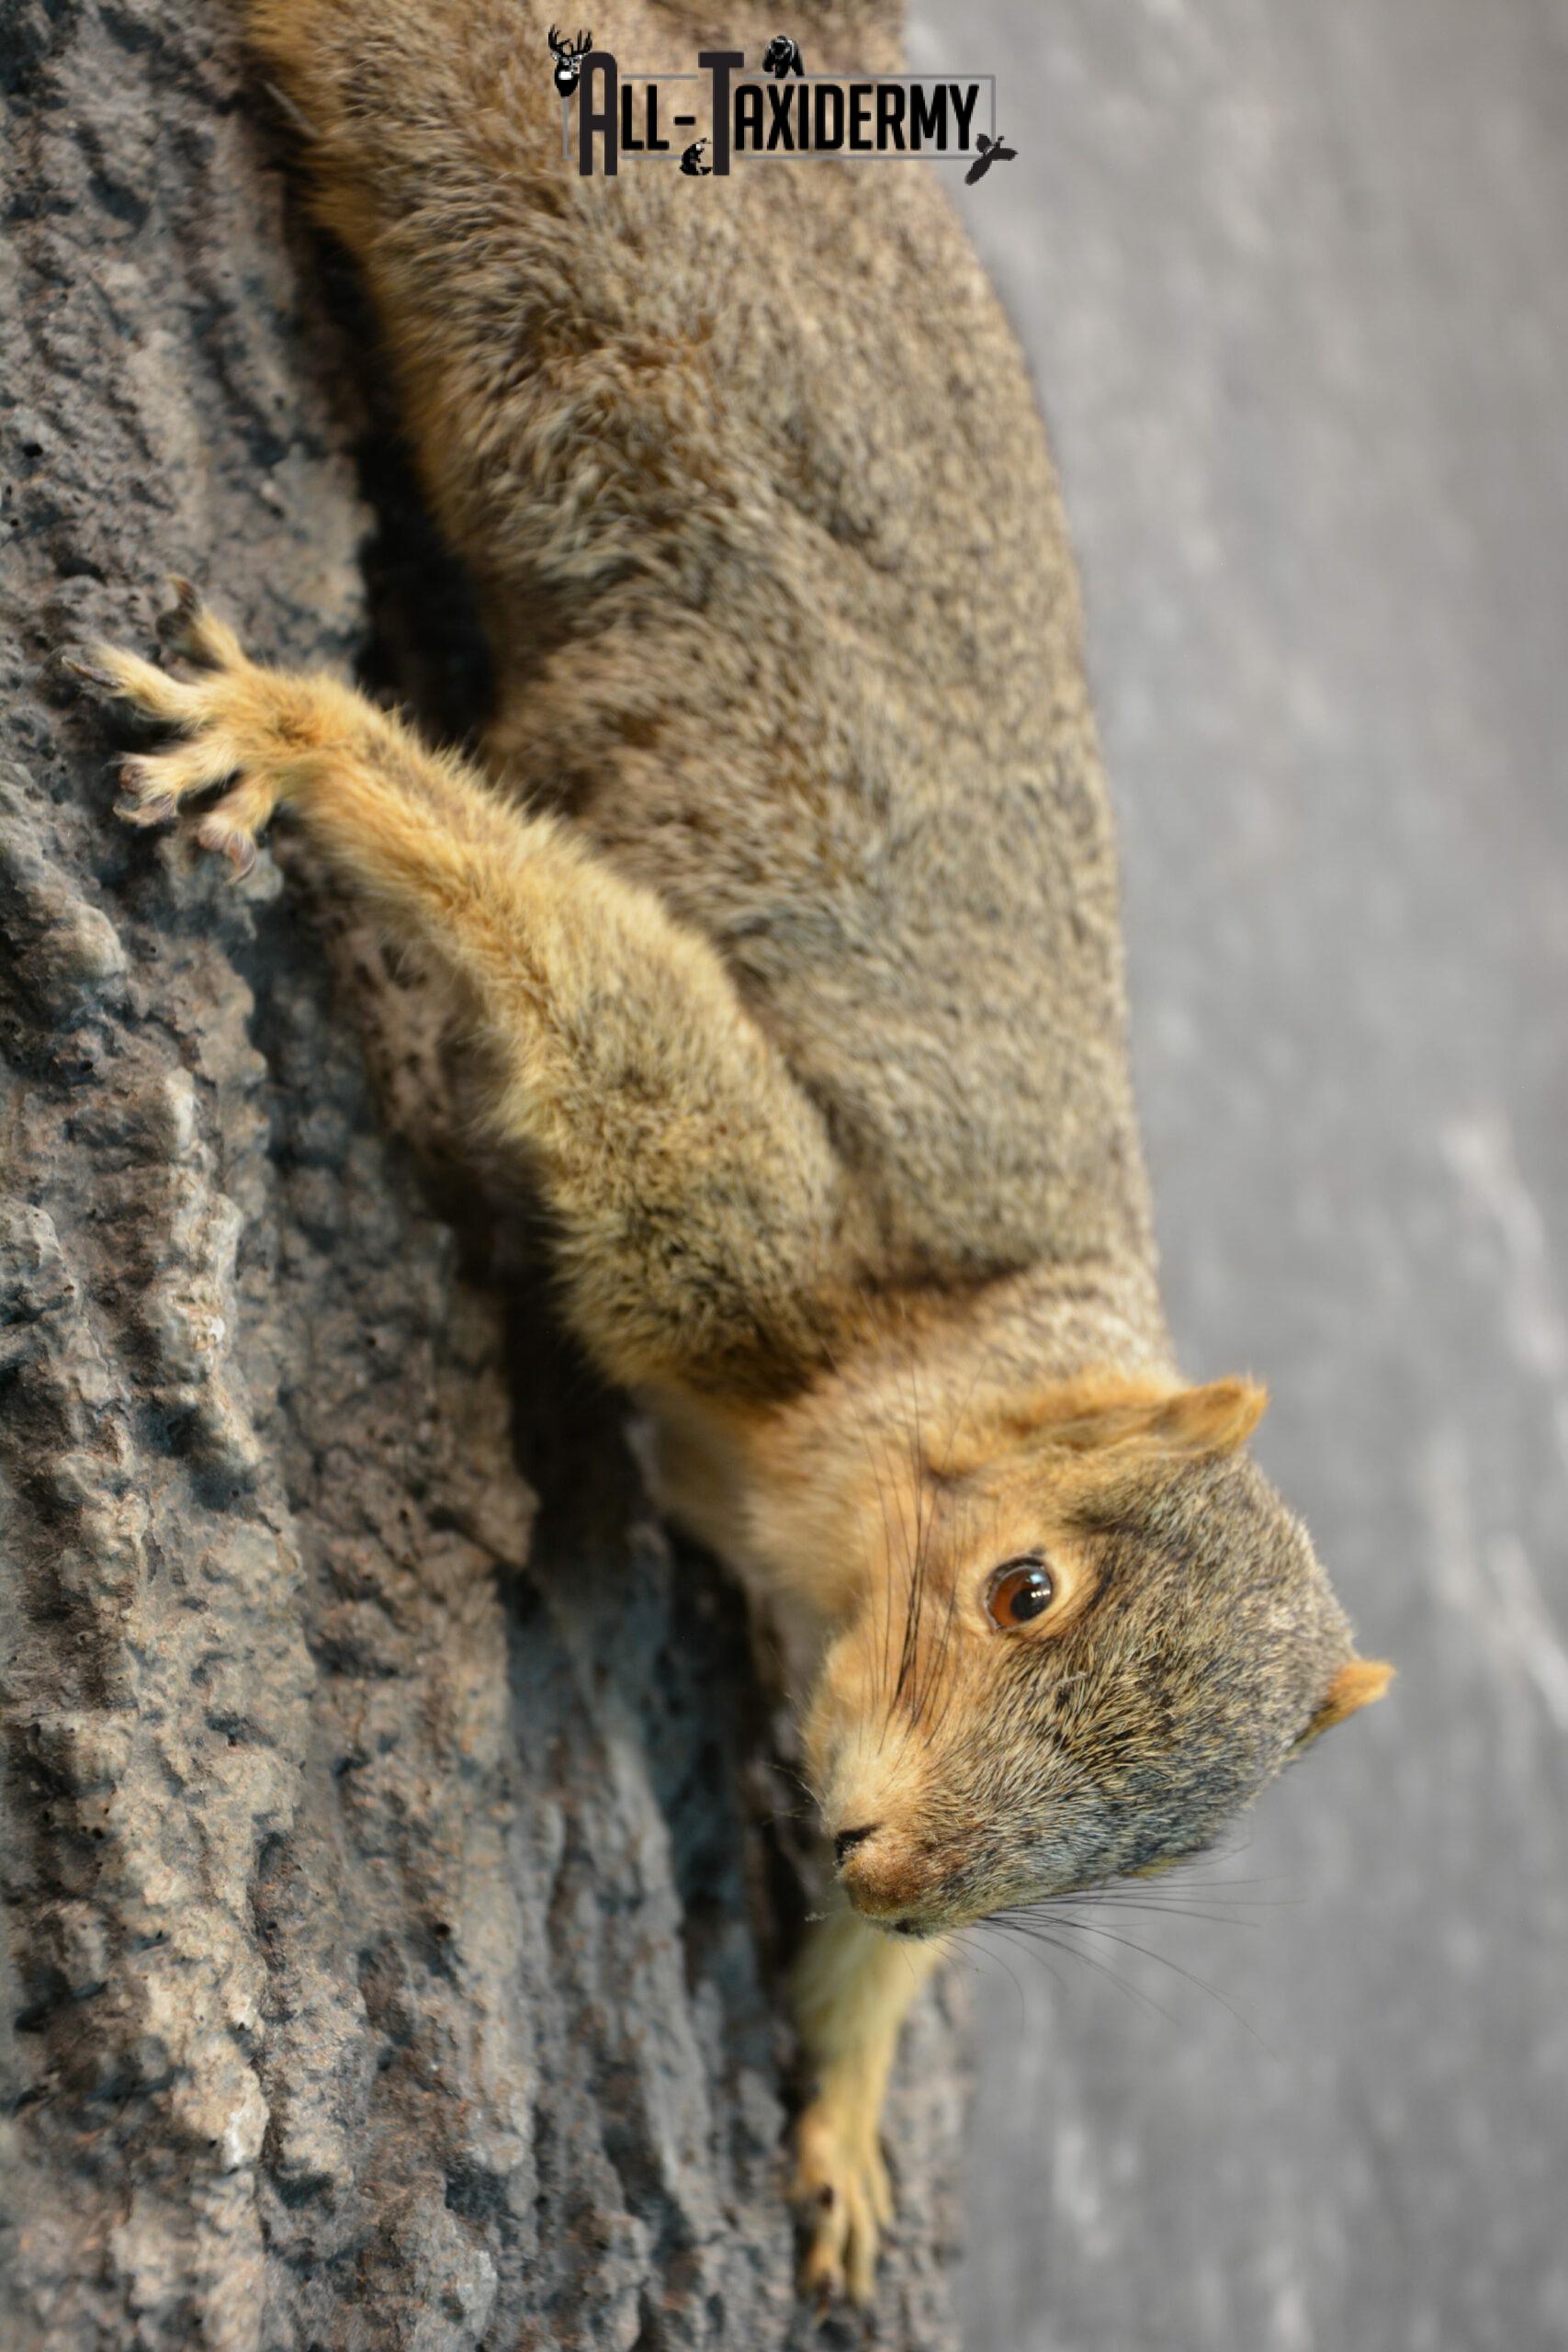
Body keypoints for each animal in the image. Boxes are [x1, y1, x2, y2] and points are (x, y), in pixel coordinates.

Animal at [69, 0, 1394, 2308]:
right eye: (1021, 1582)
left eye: (1171, 1842)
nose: (892, 1854)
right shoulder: (752, 1231)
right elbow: (613, 997)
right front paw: (305, 742)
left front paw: (846, 2086)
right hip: (573, 248)